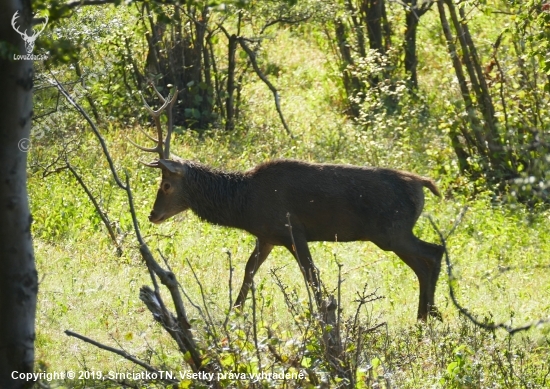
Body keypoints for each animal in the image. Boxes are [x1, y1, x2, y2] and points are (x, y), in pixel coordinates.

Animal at [134, 86, 448, 320]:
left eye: (166, 184)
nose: (152, 215)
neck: (242, 205)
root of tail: (423, 183)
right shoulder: (267, 236)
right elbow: (249, 271)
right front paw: (234, 314)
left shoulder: (292, 231)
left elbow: (312, 277)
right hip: (392, 234)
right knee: (425, 262)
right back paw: (426, 315)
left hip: (391, 231)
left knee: (434, 252)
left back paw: (430, 314)